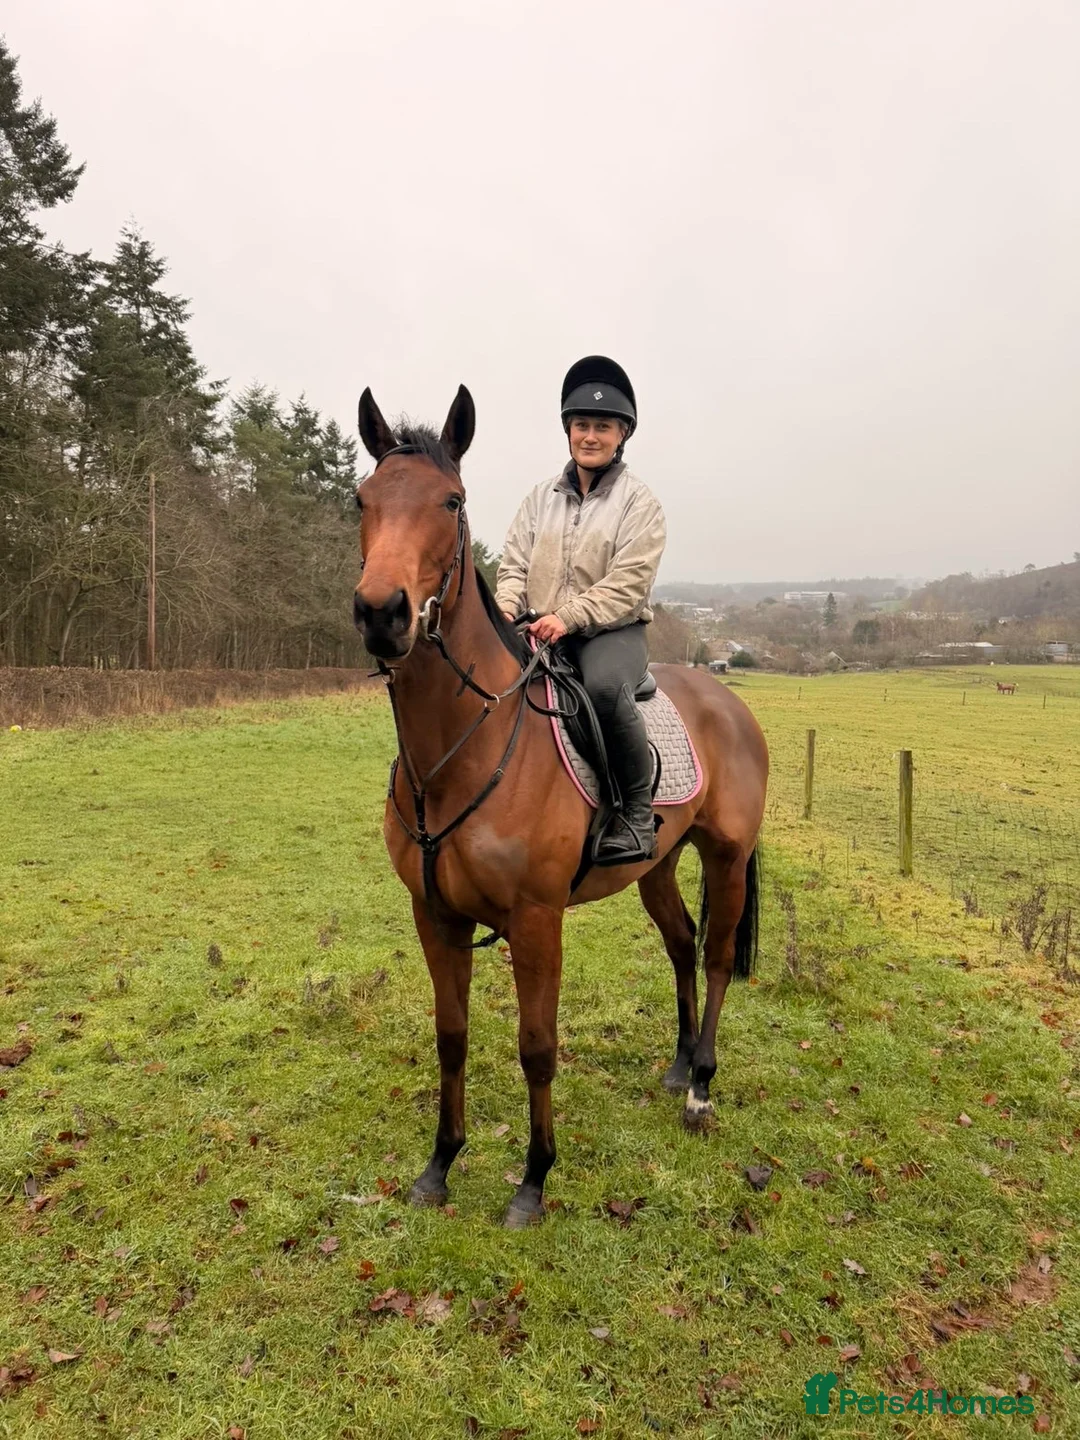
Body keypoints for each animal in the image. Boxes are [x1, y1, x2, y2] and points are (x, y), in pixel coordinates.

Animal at [352, 385, 769, 1227]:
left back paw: (702, 1089)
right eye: (363, 499)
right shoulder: (433, 913)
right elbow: (451, 1035)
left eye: (452, 501)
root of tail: (730, 702)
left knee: (713, 957)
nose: (383, 613)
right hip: (657, 864)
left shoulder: (536, 920)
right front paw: (440, 1165)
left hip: (728, 856)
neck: (457, 752)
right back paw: (679, 1068)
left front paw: (533, 1180)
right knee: (681, 943)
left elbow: (537, 1046)